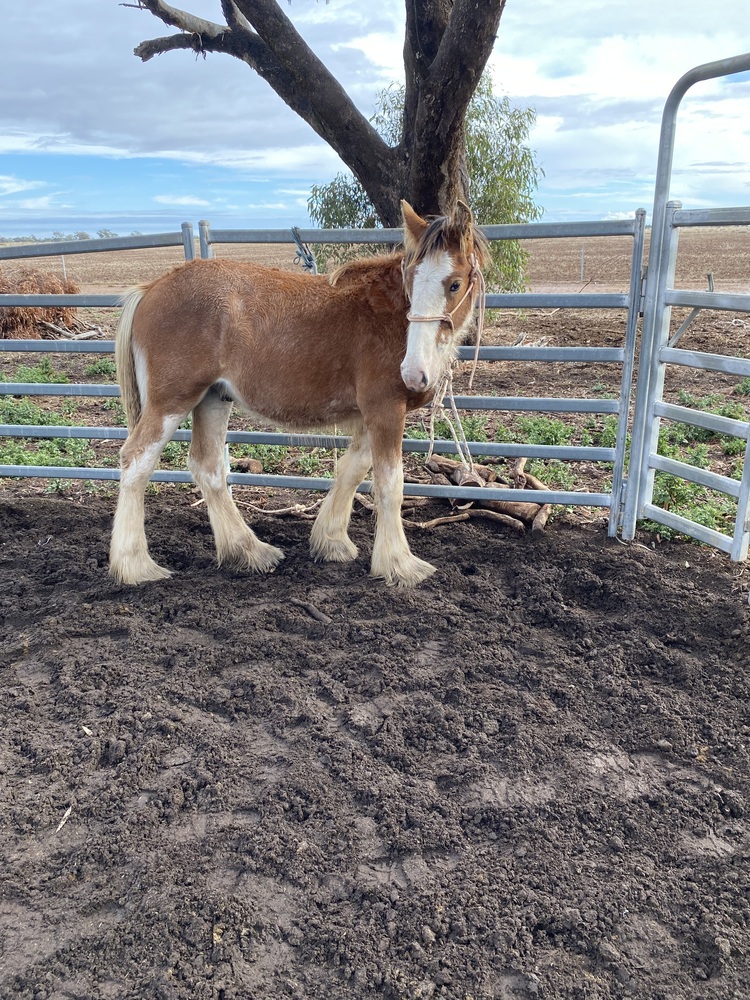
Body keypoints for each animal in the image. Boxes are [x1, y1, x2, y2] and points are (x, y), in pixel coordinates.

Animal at [109, 200, 488, 588]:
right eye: (411, 279)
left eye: (454, 284)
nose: (413, 373)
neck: (386, 317)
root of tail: (151, 288)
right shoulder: (385, 410)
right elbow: (389, 484)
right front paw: (400, 563)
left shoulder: (370, 415)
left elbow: (352, 469)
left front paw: (331, 541)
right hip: (171, 401)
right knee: (137, 462)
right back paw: (135, 564)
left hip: (212, 398)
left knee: (208, 467)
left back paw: (249, 550)